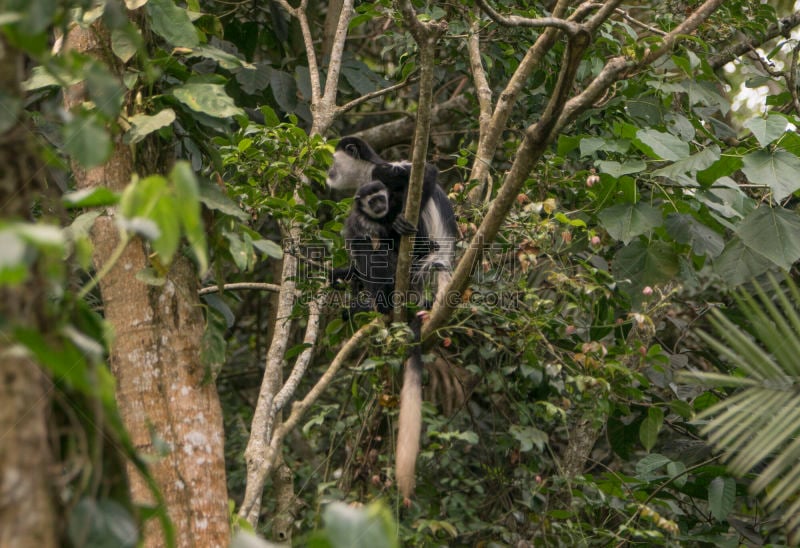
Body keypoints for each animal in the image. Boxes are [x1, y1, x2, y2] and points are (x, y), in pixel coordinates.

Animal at [324, 136, 460, 500]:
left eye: (333, 163)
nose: (328, 174)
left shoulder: (385, 174)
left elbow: (427, 174)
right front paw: (340, 275)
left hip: (417, 264)